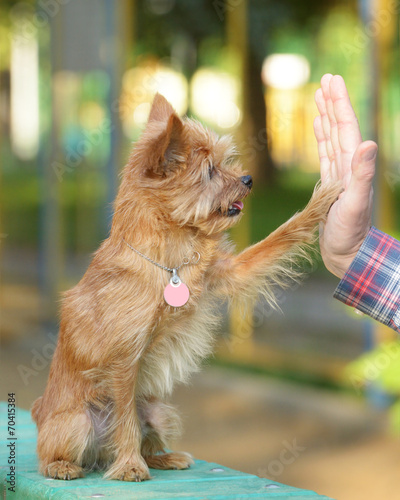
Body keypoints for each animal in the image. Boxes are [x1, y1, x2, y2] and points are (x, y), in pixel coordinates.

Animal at [31, 93, 340, 480]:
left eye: (225, 162)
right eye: (209, 172)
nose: (249, 178)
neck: (169, 260)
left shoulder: (229, 271)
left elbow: (279, 238)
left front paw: (319, 203)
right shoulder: (123, 361)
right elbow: (125, 420)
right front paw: (129, 466)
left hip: (159, 411)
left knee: (143, 435)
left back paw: (164, 457)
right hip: (78, 422)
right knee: (55, 454)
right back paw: (65, 466)